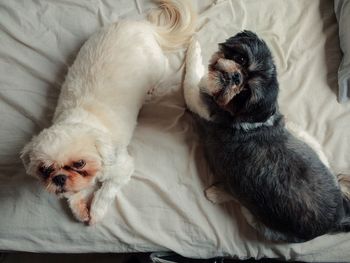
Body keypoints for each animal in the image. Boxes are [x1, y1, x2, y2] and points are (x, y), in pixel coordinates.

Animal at [21, 0, 197, 227]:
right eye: (45, 169)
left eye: (80, 163)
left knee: (164, 67)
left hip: (156, 66)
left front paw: (96, 211)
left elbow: (106, 191)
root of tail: (141, 26)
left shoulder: (121, 167)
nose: (59, 178)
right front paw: (80, 209)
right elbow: (74, 193)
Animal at [183, 31, 350, 243]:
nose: (235, 76)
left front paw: (194, 45)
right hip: (309, 144)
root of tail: (336, 220)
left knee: (239, 201)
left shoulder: (198, 99)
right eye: (241, 59)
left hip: (257, 218)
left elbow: (192, 74)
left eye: (244, 94)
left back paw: (217, 193)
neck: (246, 116)